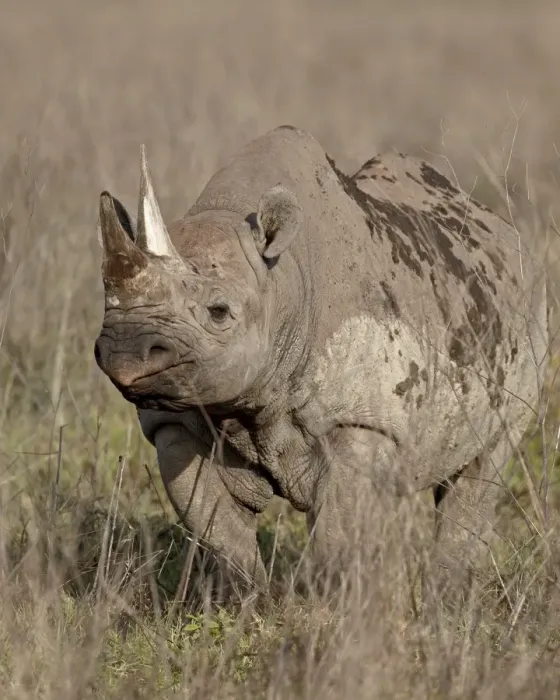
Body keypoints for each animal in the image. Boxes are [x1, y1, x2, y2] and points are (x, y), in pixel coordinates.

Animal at [94, 125, 548, 591]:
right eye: (106, 300)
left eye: (219, 312)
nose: (124, 351)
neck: (281, 286)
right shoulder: (175, 420)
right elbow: (219, 531)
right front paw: (247, 600)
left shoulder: (359, 419)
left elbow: (337, 536)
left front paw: (330, 603)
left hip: (527, 312)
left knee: (484, 466)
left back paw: (444, 597)